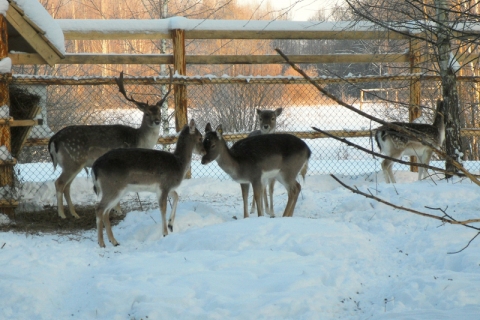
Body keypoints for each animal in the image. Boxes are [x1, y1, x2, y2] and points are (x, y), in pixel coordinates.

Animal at [48, 69, 172, 220]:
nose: (157, 121)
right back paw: (62, 214)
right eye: (147, 113)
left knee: (67, 185)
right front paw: (118, 210)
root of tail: (54, 140)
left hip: (72, 163)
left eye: (159, 111)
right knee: (59, 183)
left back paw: (75, 213)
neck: (138, 141)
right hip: (73, 160)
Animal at [93, 119, 205, 248]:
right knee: (99, 209)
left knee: (105, 211)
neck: (178, 164)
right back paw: (102, 243)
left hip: (115, 190)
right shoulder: (163, 185)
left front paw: (171, 225)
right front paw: (165, 233)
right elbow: (163, 208)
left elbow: (176, 196)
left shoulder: (167, 188)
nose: (204, 151)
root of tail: (95, 167)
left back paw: (114, 241)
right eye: (200, 137)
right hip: (112, 187)